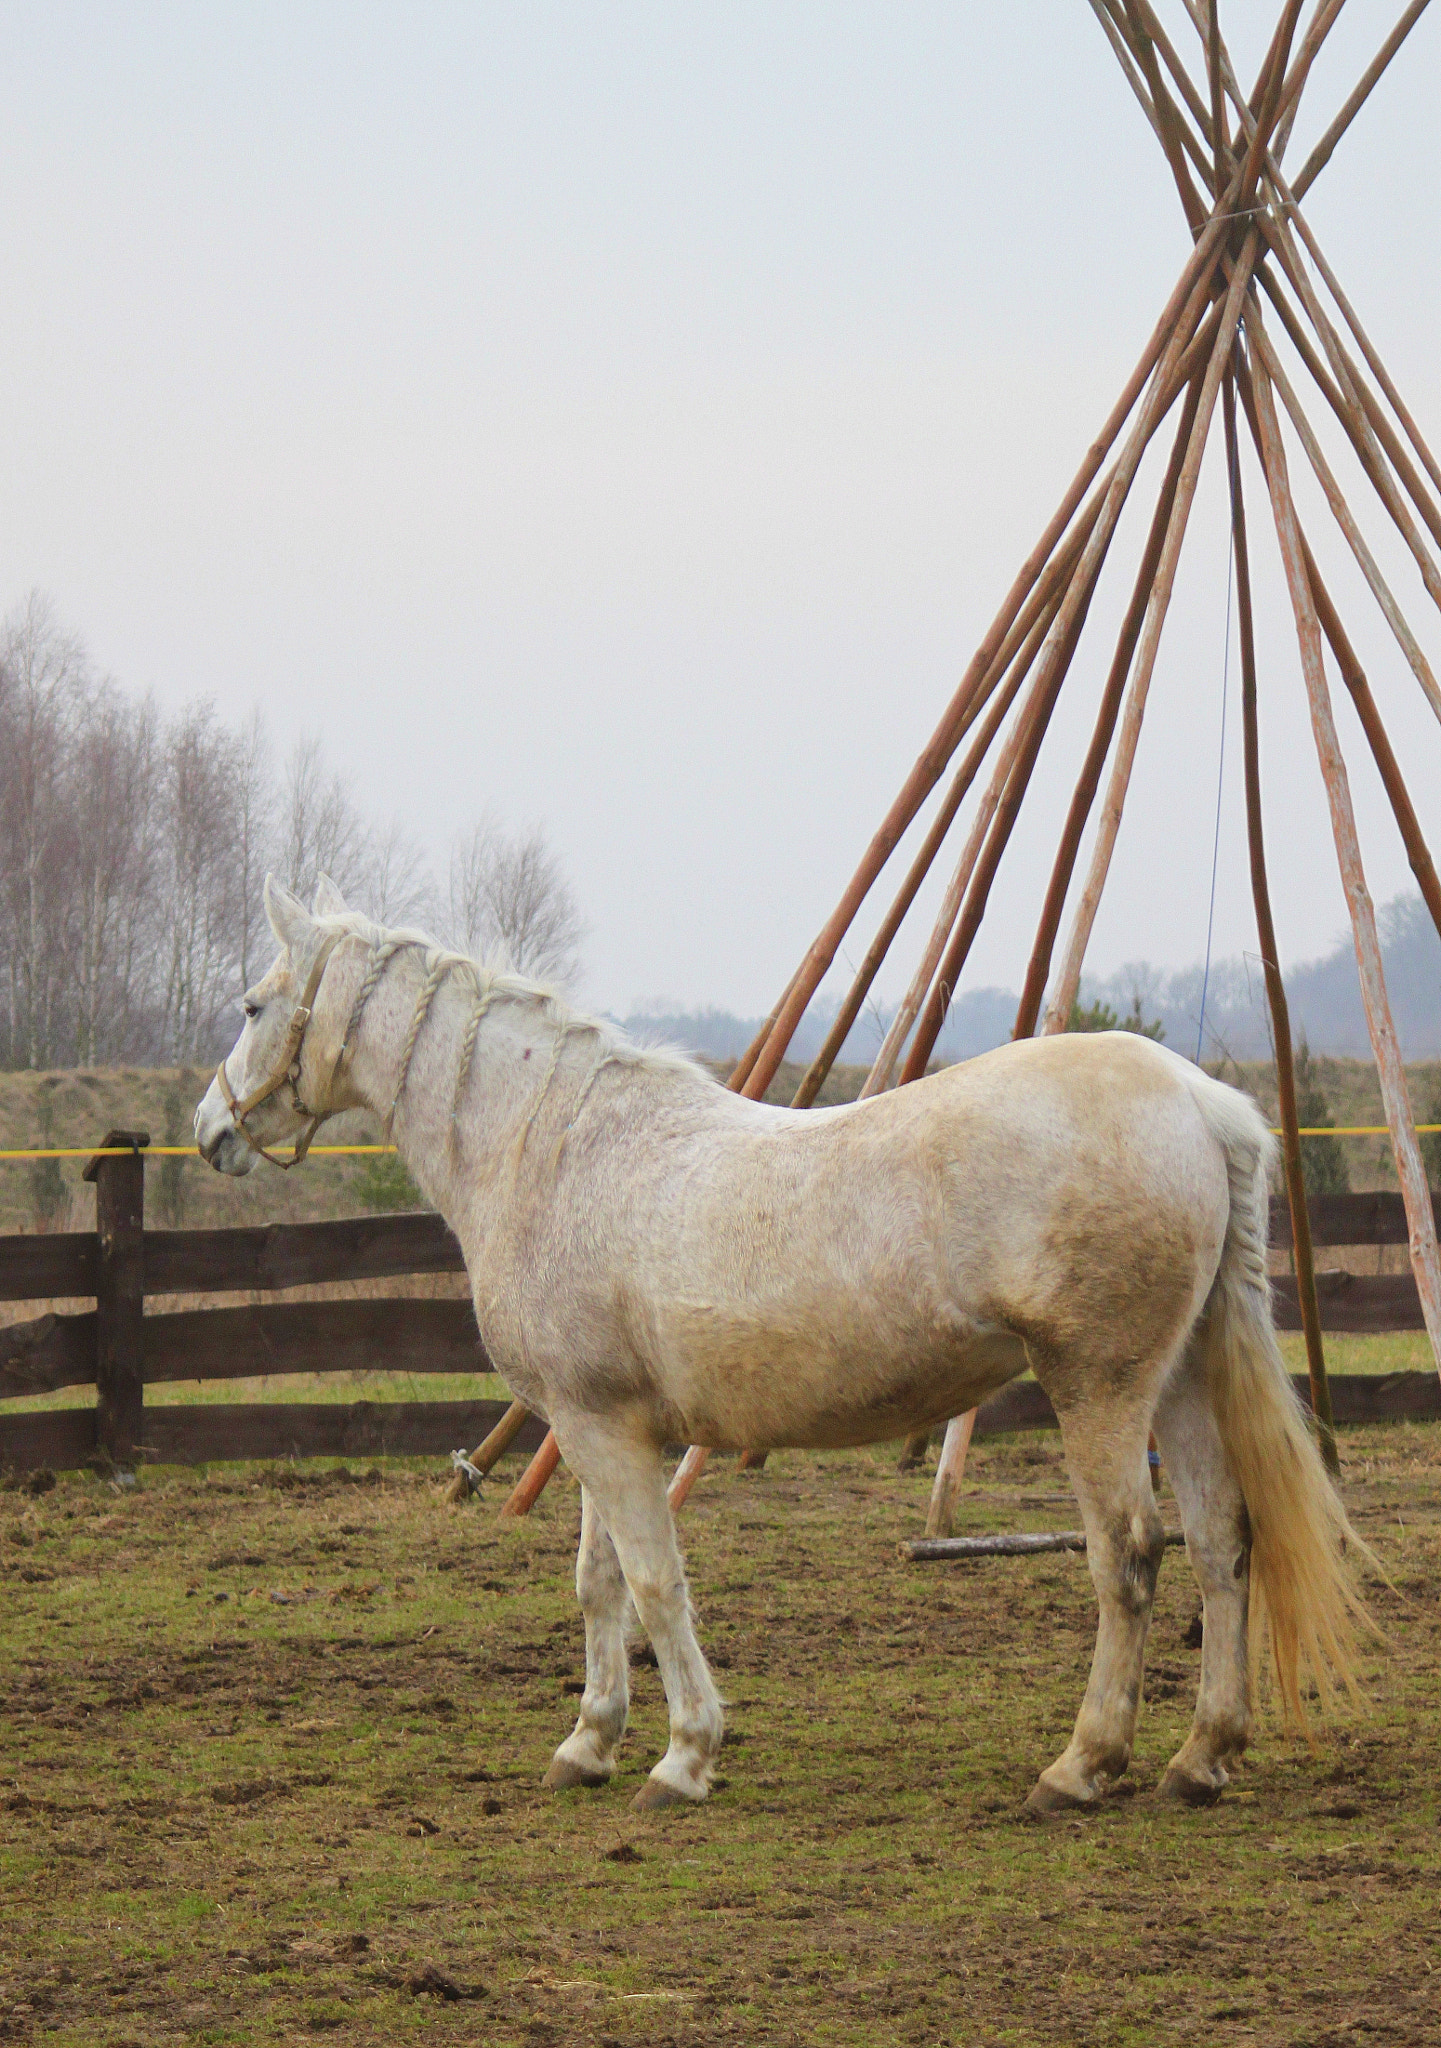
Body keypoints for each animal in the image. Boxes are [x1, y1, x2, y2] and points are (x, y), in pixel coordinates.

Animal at [195, 876, 1367, 1814]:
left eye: (253, 1004)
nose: (211, 1129)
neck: (559, 1148)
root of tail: (1200, 1100)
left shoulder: (603, 1431)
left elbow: (655, 1583)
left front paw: (683, 1757)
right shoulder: (593, 1424)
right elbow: (599, 1582)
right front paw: (589, 1742)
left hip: (1100, 1387)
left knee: (1129, 1554)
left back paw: (1081, 1766)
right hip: (1178, 1378)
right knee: (1220, 1543)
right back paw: (1198, 1757)